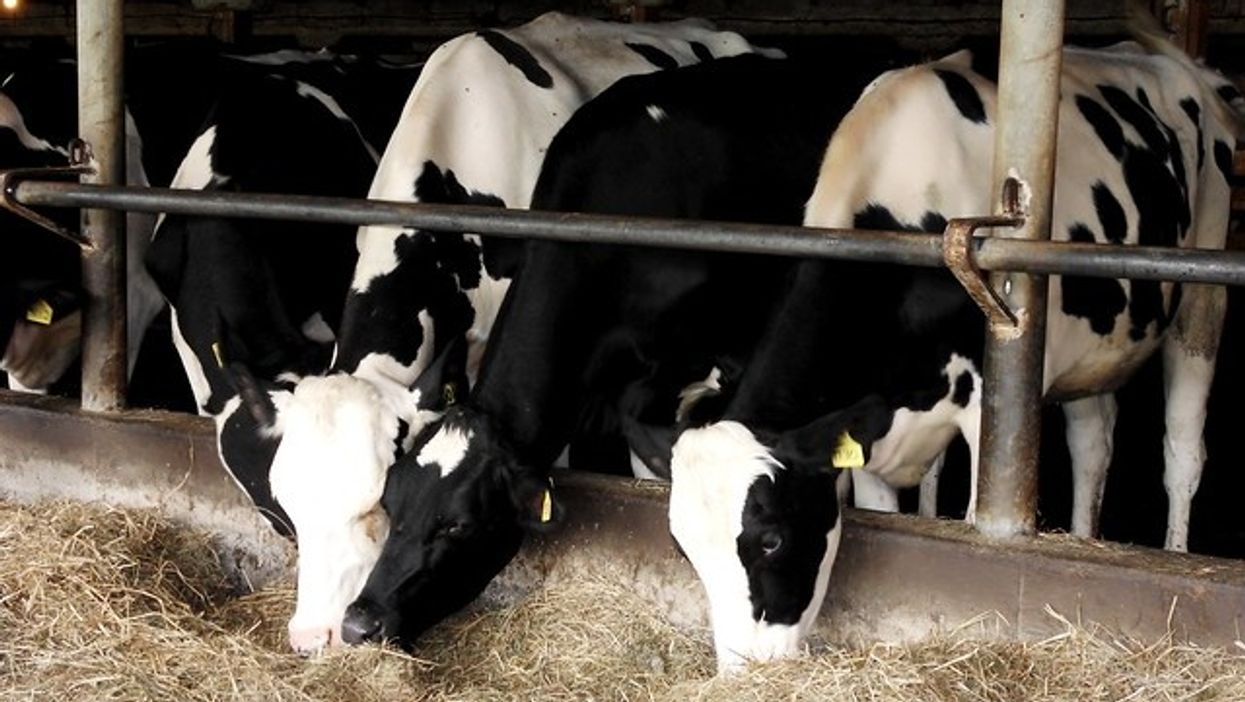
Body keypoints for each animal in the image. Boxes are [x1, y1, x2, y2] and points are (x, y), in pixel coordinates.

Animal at [668, 39, 1243, 671]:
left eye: (770, 539)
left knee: (1182, 452)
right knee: (1092, 444)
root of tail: (1183, 68)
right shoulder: (871, 430)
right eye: (686, 550)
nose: (743, 671)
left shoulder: (987, 408)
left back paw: (1177, 549)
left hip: (1201, 296)